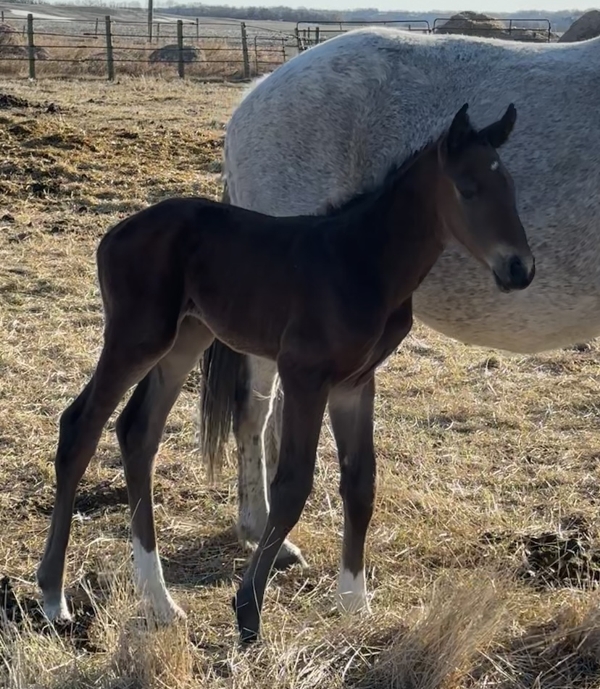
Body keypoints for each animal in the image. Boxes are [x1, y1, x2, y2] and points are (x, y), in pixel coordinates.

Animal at [36, 103, 532, 643]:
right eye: (467, 188)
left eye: (510, 187)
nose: (520, 269)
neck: (364, 262)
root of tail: (113, 235)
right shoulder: (304, 375)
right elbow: (293, 484)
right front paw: (248, 610)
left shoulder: (355, 383)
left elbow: (361, 482)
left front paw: (355, 603)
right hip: (136, 337)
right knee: (80, 426)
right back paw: (54, 597)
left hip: (185, 339)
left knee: (137, 431)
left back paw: (159, 600)